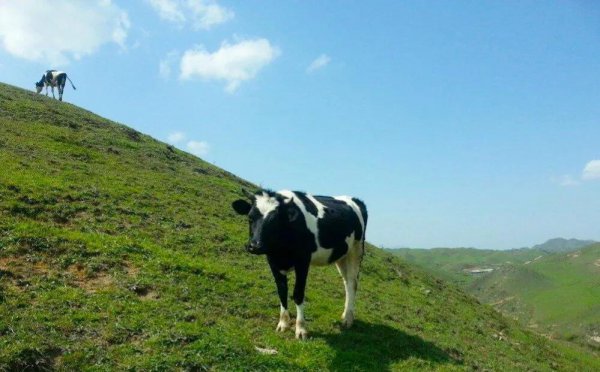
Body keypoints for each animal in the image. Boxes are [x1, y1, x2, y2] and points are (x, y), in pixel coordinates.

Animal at [232, 189, 368, 340]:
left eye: (274, 221)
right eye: (250, 217)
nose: (255, 246)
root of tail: (355, 200)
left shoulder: (303, 262)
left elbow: (298, 294)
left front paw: (301, 329)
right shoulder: (273, 262)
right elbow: (282, 292)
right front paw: (283, 323)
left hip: (356, 250)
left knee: (352, 283)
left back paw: (348, 319)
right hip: (341, 255)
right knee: (346, 282)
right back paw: (345, 315)